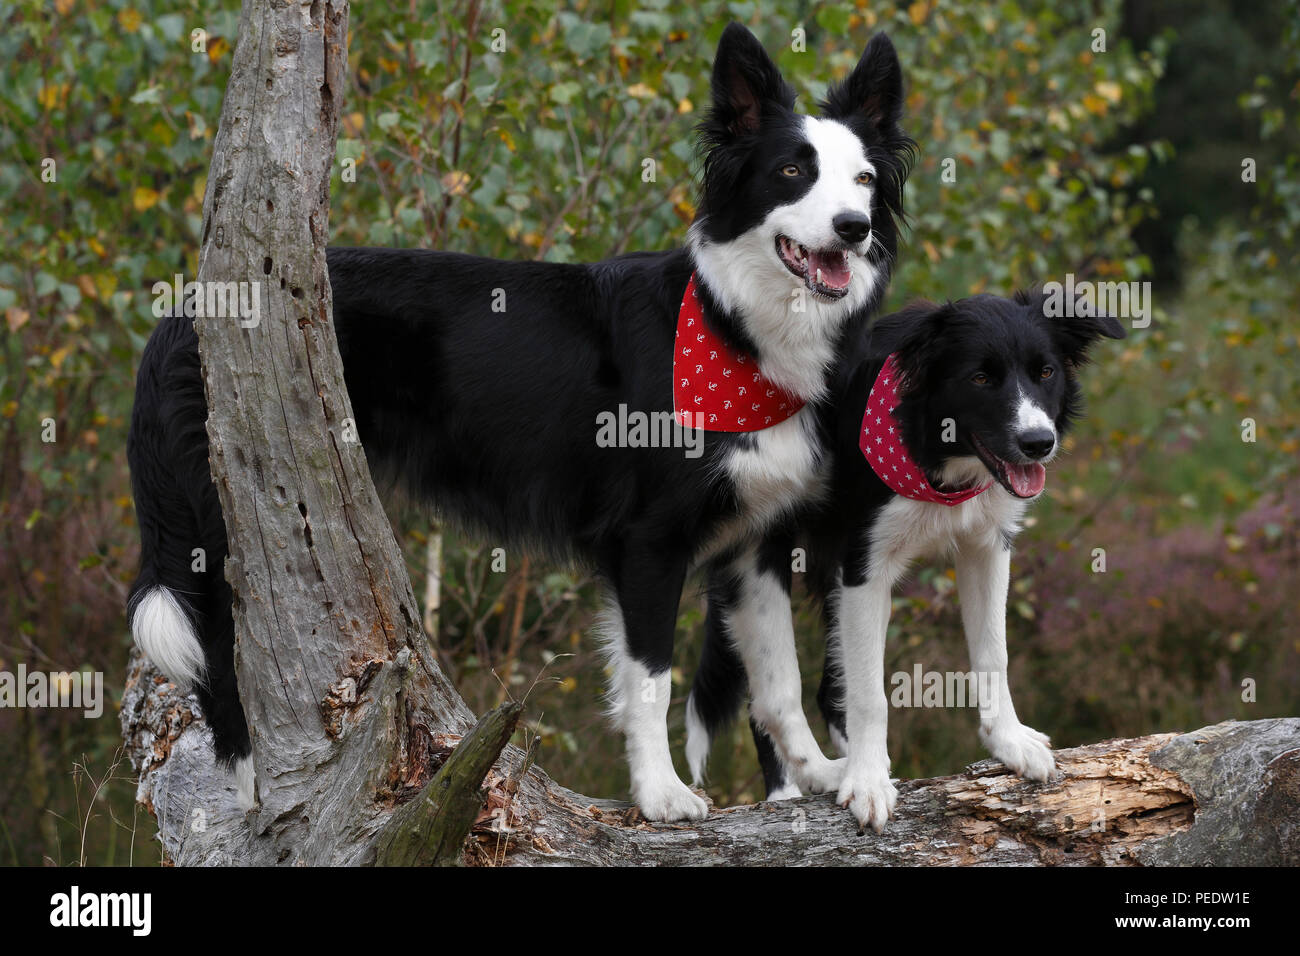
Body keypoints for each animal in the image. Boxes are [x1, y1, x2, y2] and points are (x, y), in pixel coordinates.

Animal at [122, 22, 915, 816]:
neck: (734, 330)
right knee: (219, 653)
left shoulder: (754, 546)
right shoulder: (649, 544)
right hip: (229, 517)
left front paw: (823, 773)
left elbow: (778, 682)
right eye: (791, 172)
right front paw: (660, 795)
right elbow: (651, 682)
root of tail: (185, 308)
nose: (853, 229)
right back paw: (251, 784)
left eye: (864, 181)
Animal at [686, 291, 1123, 832]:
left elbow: (993, 654)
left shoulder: (985, 548)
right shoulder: (864, 567)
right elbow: (870, 693)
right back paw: (789, 793)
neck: (935, 452)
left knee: (827, 689)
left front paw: (1008, 742)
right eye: (980, 379)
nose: (1038, 443)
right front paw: (868, 783)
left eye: (1045, 372)